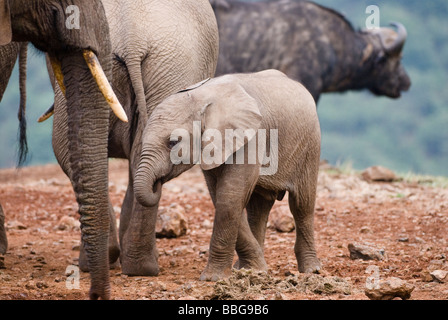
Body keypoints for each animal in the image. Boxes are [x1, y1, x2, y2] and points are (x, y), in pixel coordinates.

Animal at [135, 69, 320, 280]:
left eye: (172, 143)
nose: (157, 182)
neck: (201, 97)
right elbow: (222, 197)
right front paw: (255, 270)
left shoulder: (251, 136)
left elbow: (230, 197)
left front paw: (212, 278)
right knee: (258, 209)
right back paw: (246, 269)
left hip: (310, 145)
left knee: (301, 204)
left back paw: (312, 270)